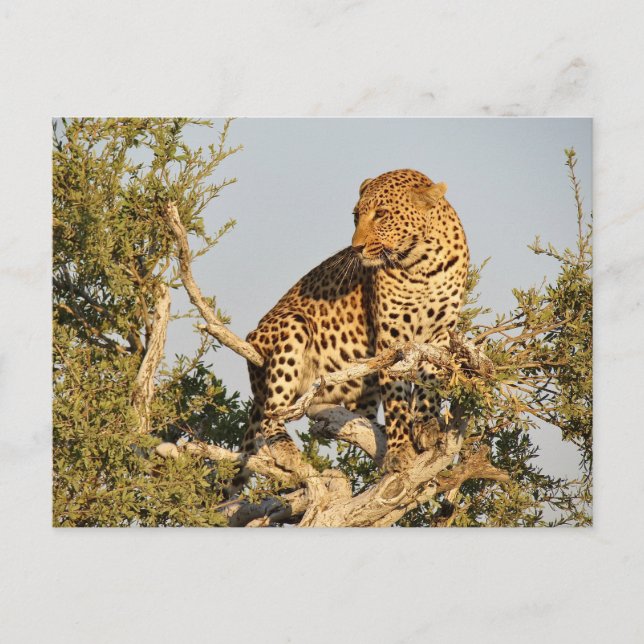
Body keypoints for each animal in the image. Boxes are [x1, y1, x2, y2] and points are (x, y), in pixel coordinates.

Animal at [242, 168, 469, 474]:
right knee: (271, 412)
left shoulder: (441, 335)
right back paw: (285, 447)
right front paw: (399, 449)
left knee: (360, 413)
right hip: (291, 326)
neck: (422, 265)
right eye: (355, 216)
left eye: (381, 214)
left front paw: (426, 424)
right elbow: (395, 399)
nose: (357, 247)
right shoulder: (391, 339)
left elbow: (429, 383)